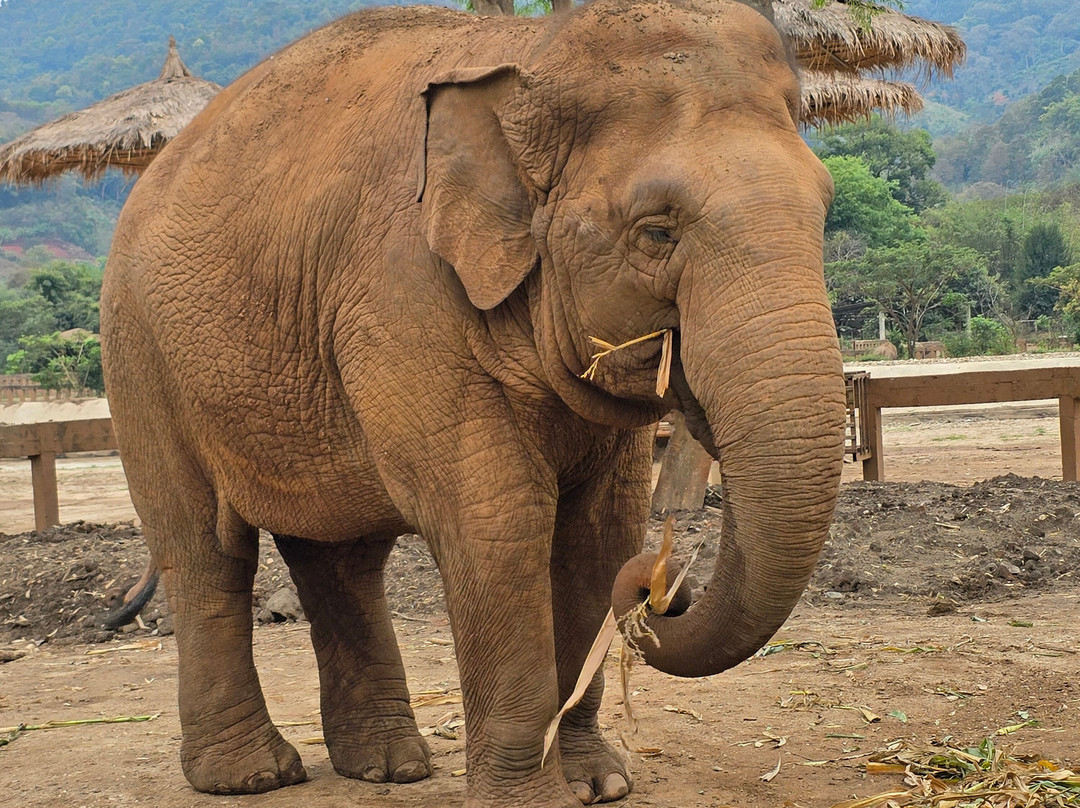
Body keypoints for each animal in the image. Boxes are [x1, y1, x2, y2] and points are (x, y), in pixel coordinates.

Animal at [99, 0, 845, 806]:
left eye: (825, 209)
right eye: (656, 231)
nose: (664, 583)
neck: (531, 57)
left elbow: (599, 529)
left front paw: (600, 784)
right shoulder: (401, 296)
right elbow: (498, 518)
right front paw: (533, 799)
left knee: (343, 557)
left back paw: (389, 766)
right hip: (141, 359)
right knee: (204, 548)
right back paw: (254, 776)